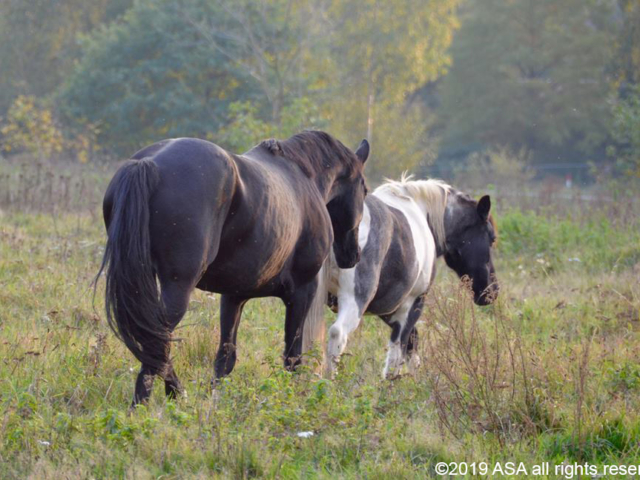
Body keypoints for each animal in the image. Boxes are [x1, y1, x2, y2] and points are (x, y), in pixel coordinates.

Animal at [97, 131, 368, 404]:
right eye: (364, 190)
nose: (353, 255)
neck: (304, 176)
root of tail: (149, 164)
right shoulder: (302, 292)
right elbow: (292, 356)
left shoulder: (234, 296)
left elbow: (225, 358)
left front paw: (214, 400)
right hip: (177, 287)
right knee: (157, 342)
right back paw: (146, 402)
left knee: (154, 343)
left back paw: (176, 394)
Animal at [328, 176, 498, 378]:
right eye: (492, 238)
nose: (492, 291)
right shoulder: (412, 303)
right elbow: (397, 352)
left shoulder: (389, 307)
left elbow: (411, 342)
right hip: (354, 300)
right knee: (338, 334)